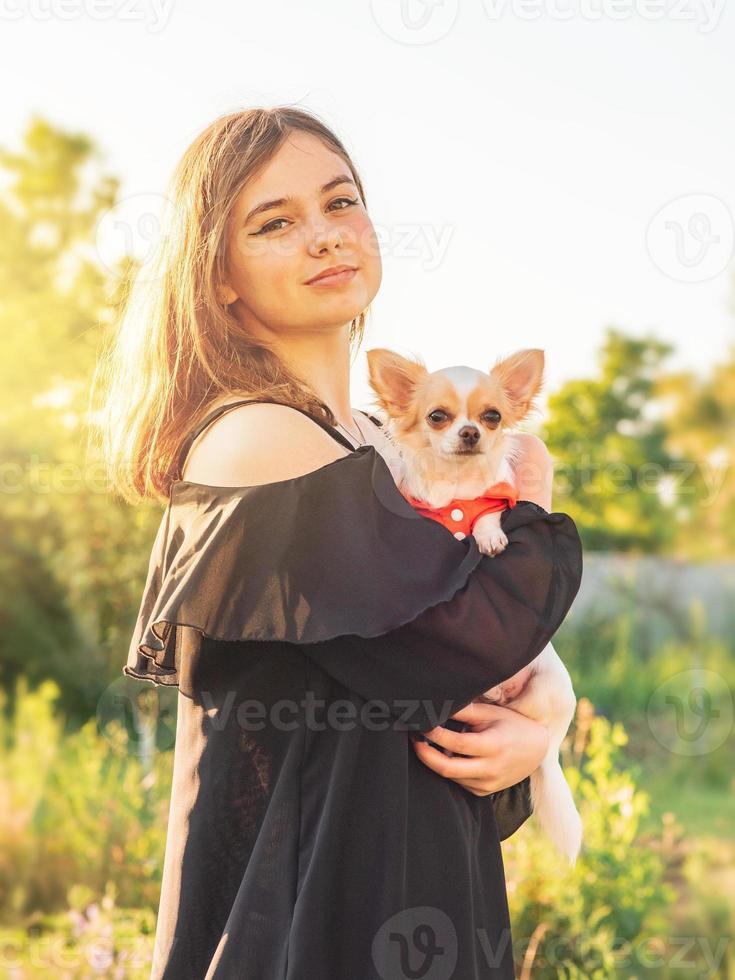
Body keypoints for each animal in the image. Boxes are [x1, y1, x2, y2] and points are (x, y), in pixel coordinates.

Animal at [366, 346, 584, 864]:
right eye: (437, 417)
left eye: (492, 417)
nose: (470, 433)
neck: (456, 488)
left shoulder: (493, 502)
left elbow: (490, 513)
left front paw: (488, 537)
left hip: (545, 693)